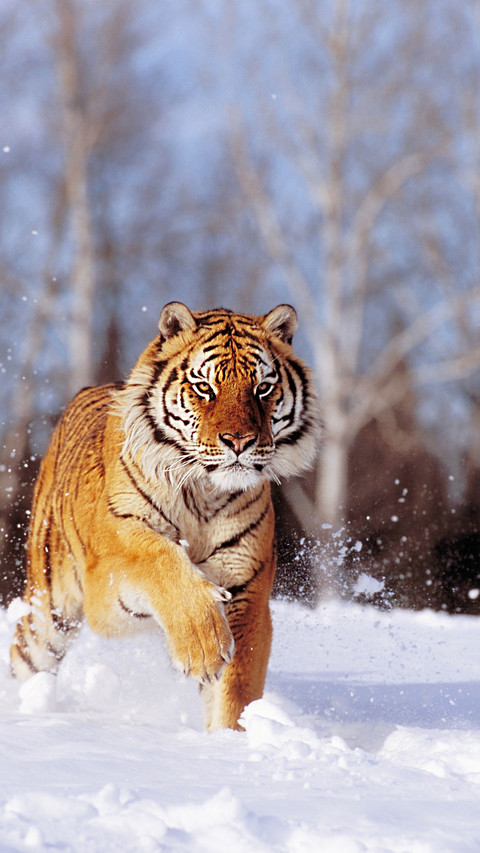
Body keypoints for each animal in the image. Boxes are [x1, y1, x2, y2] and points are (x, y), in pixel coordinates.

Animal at [10, 302, 321, 730]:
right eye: (204, 388)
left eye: (262, 388)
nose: (240, 441)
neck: (205, 492)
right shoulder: (109, 574)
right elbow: (160, 559)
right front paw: (203, 644)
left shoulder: (247, 590)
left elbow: (236, 686)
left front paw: (231, 737)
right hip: (49, 607)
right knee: (25, 650)